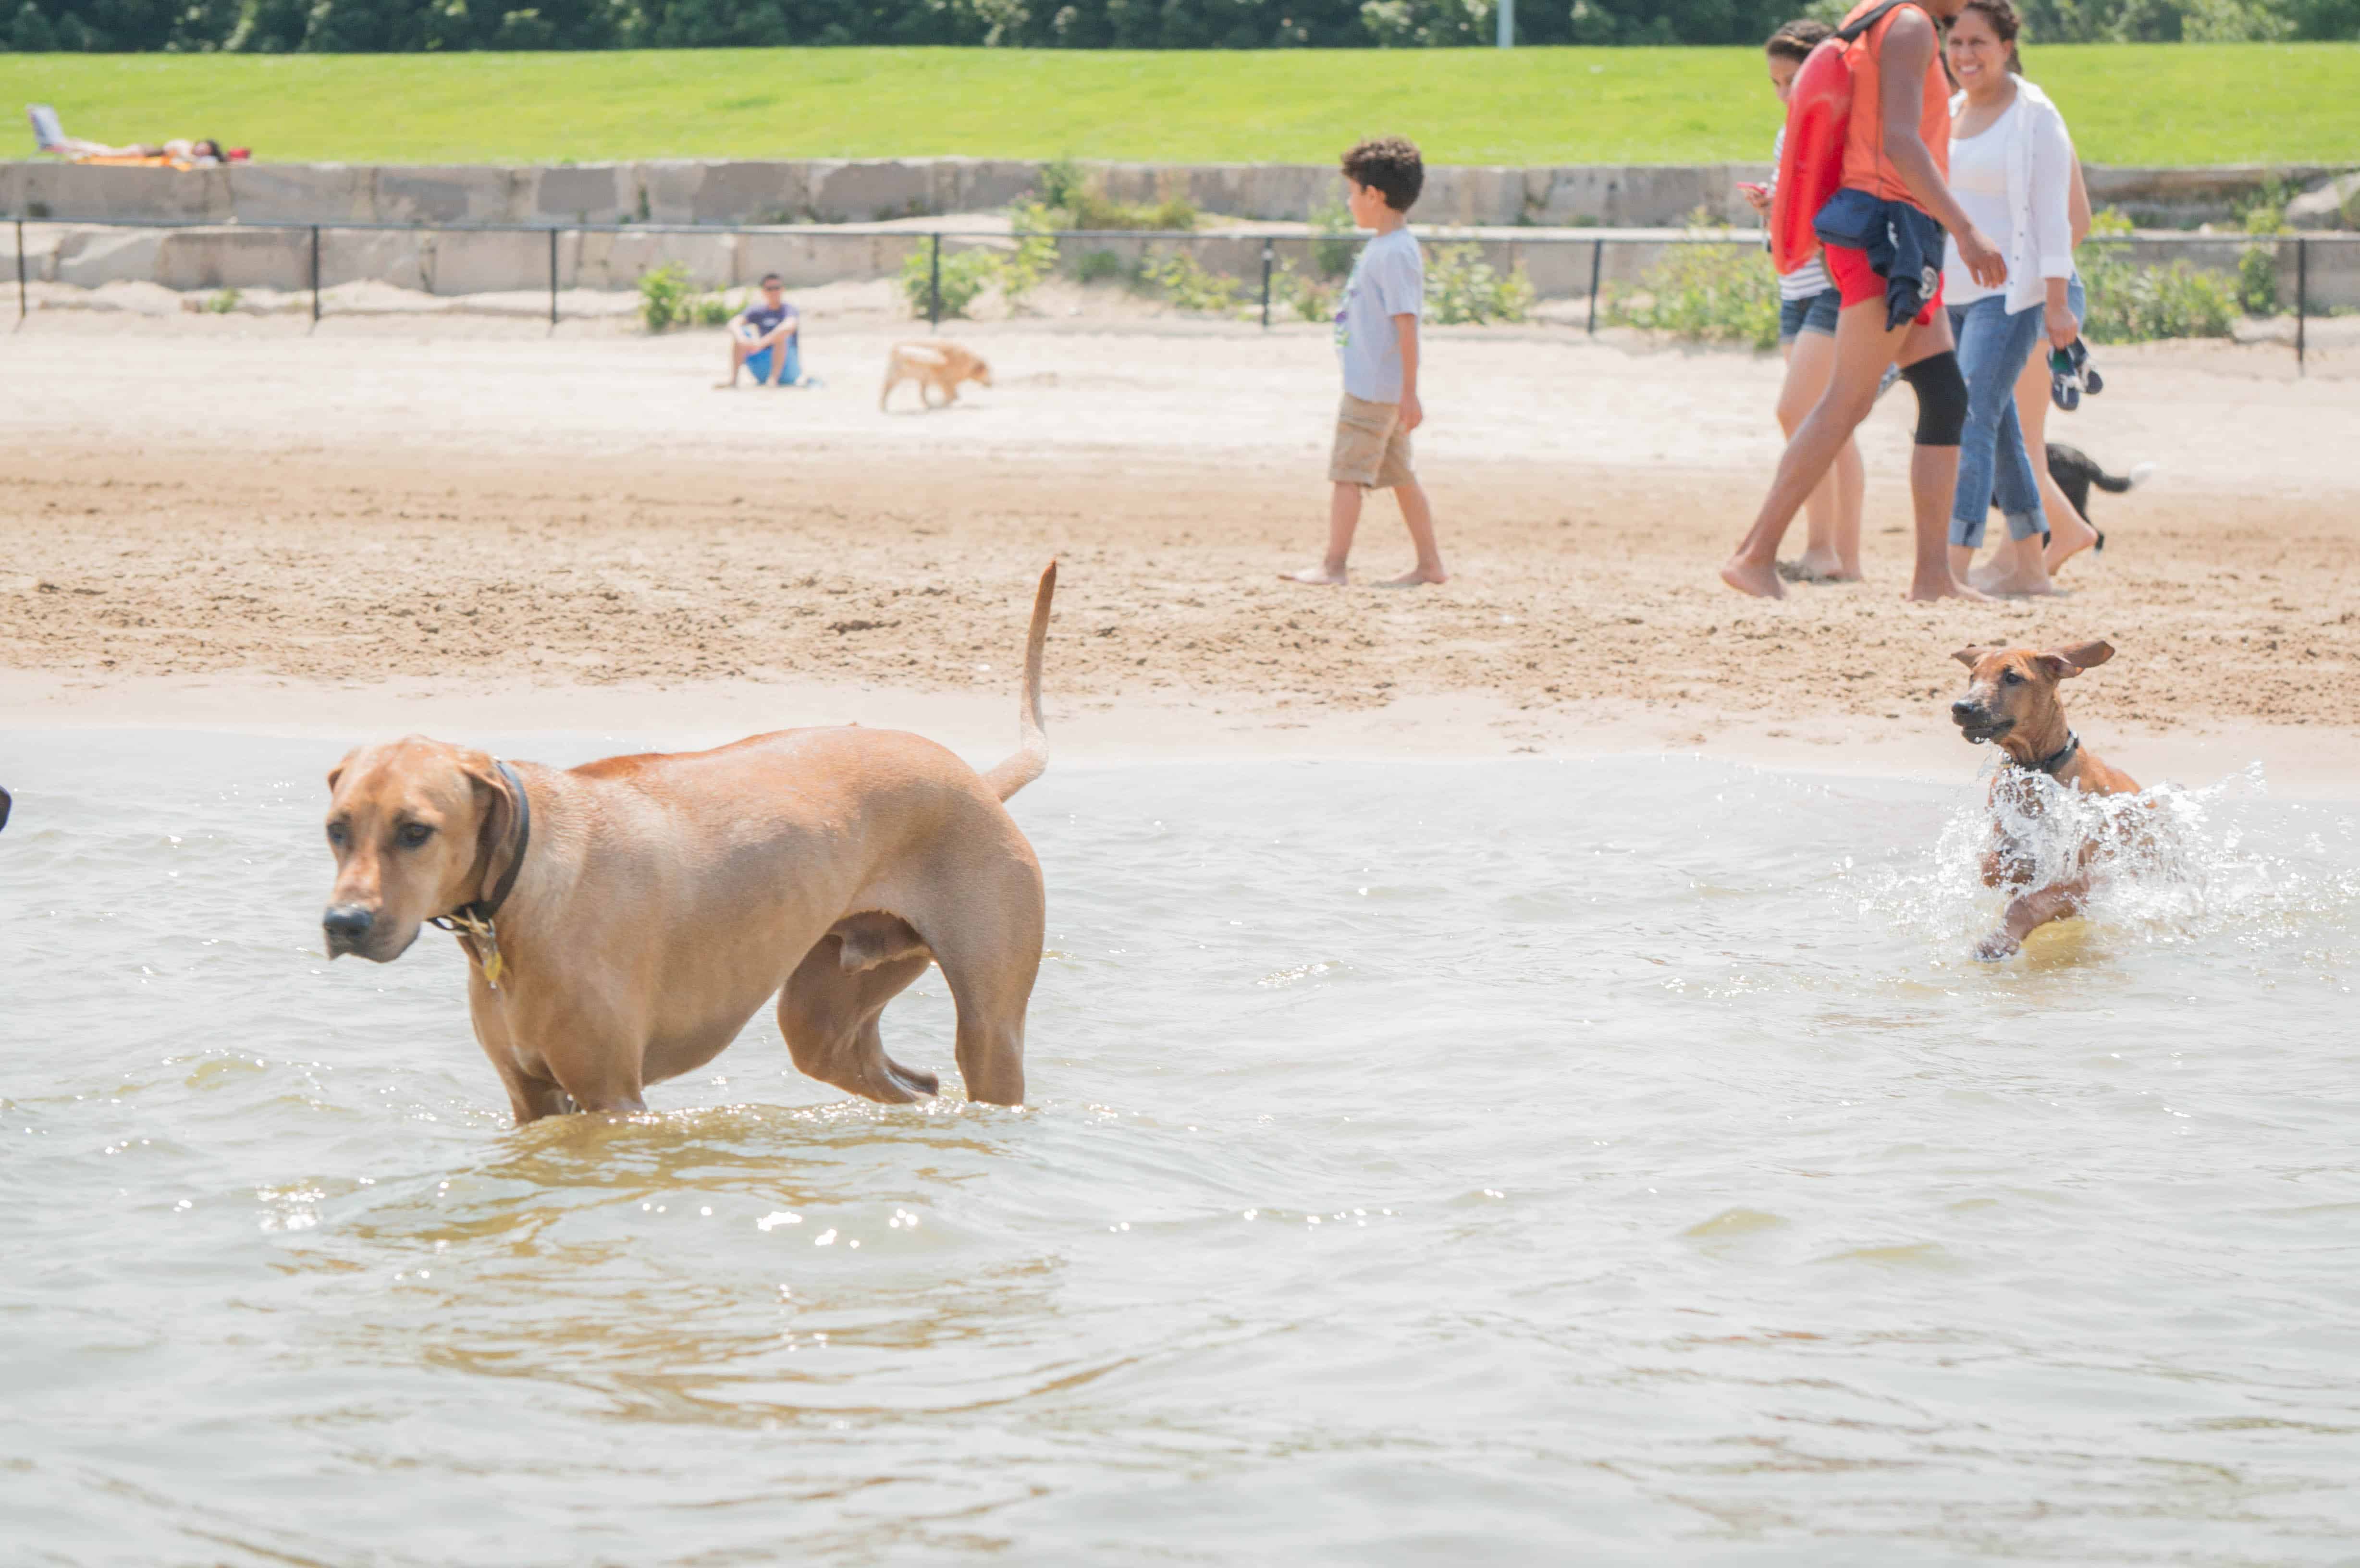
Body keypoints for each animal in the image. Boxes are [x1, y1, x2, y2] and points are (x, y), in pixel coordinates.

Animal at [319, 560, 1057, 1115]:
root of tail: (978, 781)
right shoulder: (533, 1102)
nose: (344, 923)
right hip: (827, 1019)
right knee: (915, 1085)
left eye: (416, 831)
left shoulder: (613, 1101)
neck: (523, 886)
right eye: (336, 829)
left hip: (990, 1030)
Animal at [1944, 633, 2152, 954]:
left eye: (2012, 677)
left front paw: (1998, 942)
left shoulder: (2080, 881)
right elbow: (1992, 869)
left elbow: (2028, 903)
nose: (1962, 708)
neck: (2034, 770)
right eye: (1972, 677)